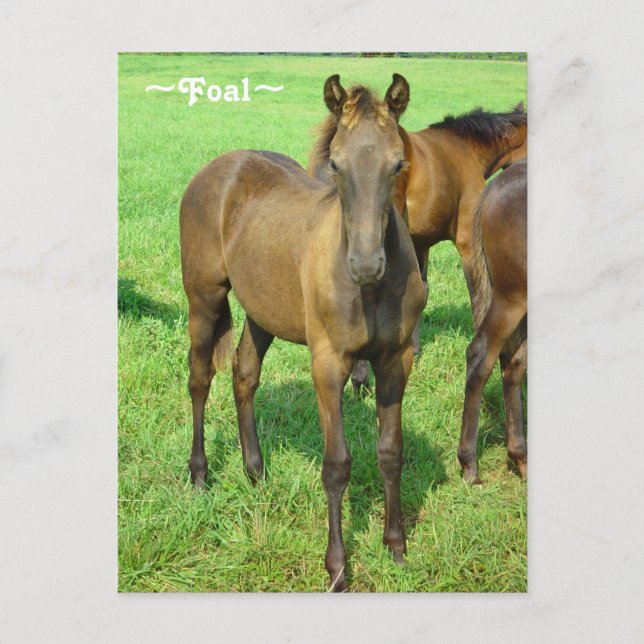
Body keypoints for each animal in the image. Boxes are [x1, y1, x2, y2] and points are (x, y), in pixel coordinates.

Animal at [179, 74, 425, 592]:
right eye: (336, 164)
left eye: (398, 165)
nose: (366, 265)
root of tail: (220, 166)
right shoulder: (328, 364)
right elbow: (337, 465)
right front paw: (337, 568)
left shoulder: (396, 360)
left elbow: (391, 451)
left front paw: (396, 548)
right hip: (204, 298)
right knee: (200, 378)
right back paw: (200, 477)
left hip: (262, 311)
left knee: (244, 374)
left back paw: (255, 473)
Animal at [309, 95, 527, 396]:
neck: (466, 148)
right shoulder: (467, 241)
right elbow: (478, 295)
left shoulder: (420, 243)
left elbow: (421, 289)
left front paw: (413, 348)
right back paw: (360, 378)